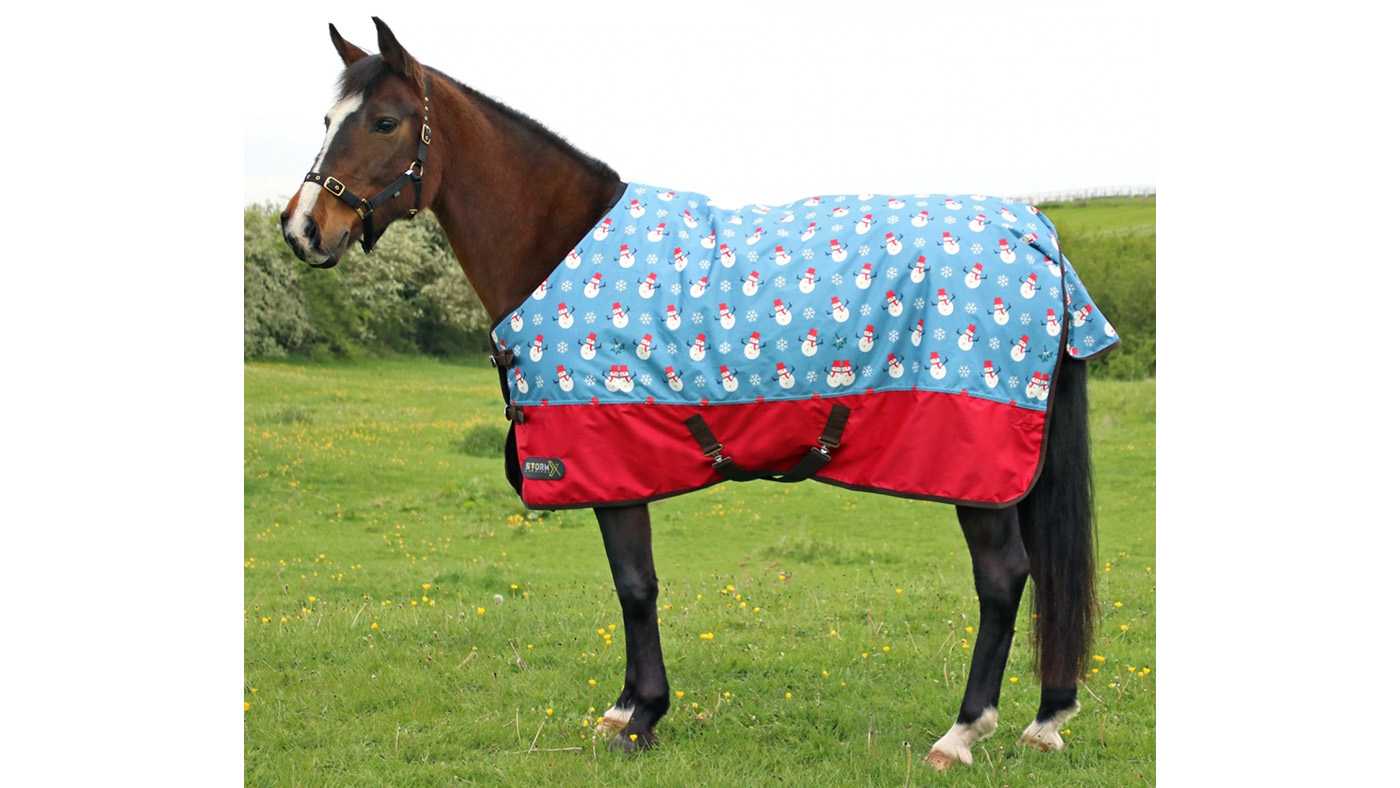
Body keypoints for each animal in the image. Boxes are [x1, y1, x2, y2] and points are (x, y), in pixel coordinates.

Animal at [278, 18, 1106, 770]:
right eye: (325, 120)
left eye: (384, 122)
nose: (302, 228)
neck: (559, 243)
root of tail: (1037, 233)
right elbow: (634, 586)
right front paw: (627, 709)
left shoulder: (610, 460)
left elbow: (635, 586)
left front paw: (641, 716)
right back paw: (1046, 719)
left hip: (980, 469)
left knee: (1003, 579)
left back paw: (962, 733)